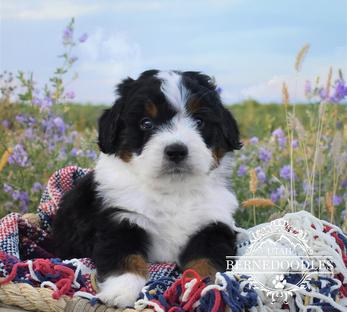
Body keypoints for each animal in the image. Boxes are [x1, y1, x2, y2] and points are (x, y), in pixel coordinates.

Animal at [53, 69, 243, 306]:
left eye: (199, 121)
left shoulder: (213, 226)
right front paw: (120, 291)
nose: (176, 151)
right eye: (146, 123)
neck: (173, 191)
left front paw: (200, 291)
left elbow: (207, 263)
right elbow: (126, 258)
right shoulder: (119, 220)